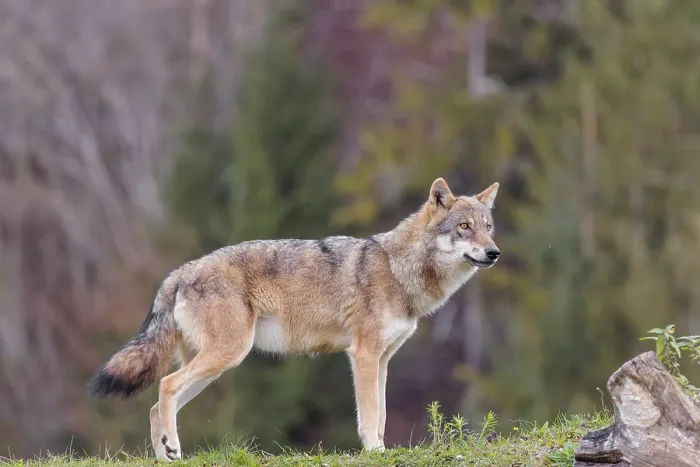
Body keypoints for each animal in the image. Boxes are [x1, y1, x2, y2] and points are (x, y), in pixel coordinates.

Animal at [89, 177, 500, 461]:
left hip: (216, 367)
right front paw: (373, 453)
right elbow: (370, 415)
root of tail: (182, 270)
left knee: (157, 404)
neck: (398, 269)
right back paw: (172, 447)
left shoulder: (383, 360)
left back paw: (168, 457)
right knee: (166, 387)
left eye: (488, 227)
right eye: (464, 227)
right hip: (226, 356)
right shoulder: (363, 355)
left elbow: (382, 414)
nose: (494, 253)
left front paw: (381, 450)